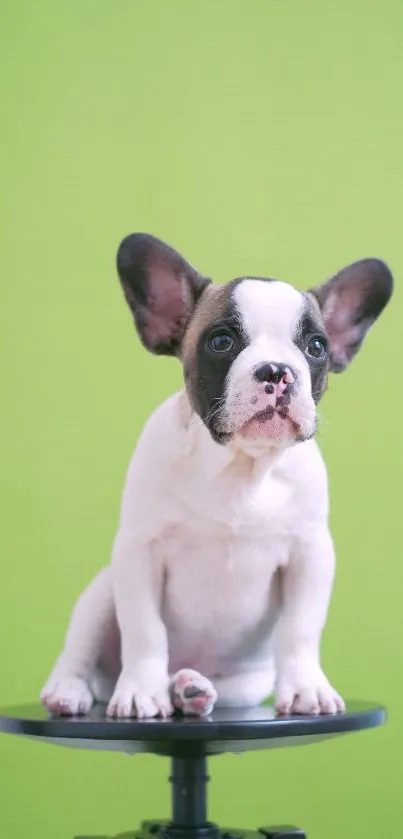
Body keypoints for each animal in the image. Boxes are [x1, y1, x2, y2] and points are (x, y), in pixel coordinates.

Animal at [41, 238, 394, 720]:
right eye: (222, 341)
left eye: (317, 347)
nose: (276, 370)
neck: (241, 466)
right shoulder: (138, 552)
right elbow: (144, 630)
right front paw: (140, 692)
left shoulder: (310, 554)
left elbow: (300, 629)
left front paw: (307, 688)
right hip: (100, 593)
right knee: (80, 652)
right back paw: (72, 690)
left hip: (243, 687)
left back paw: (188, 689)